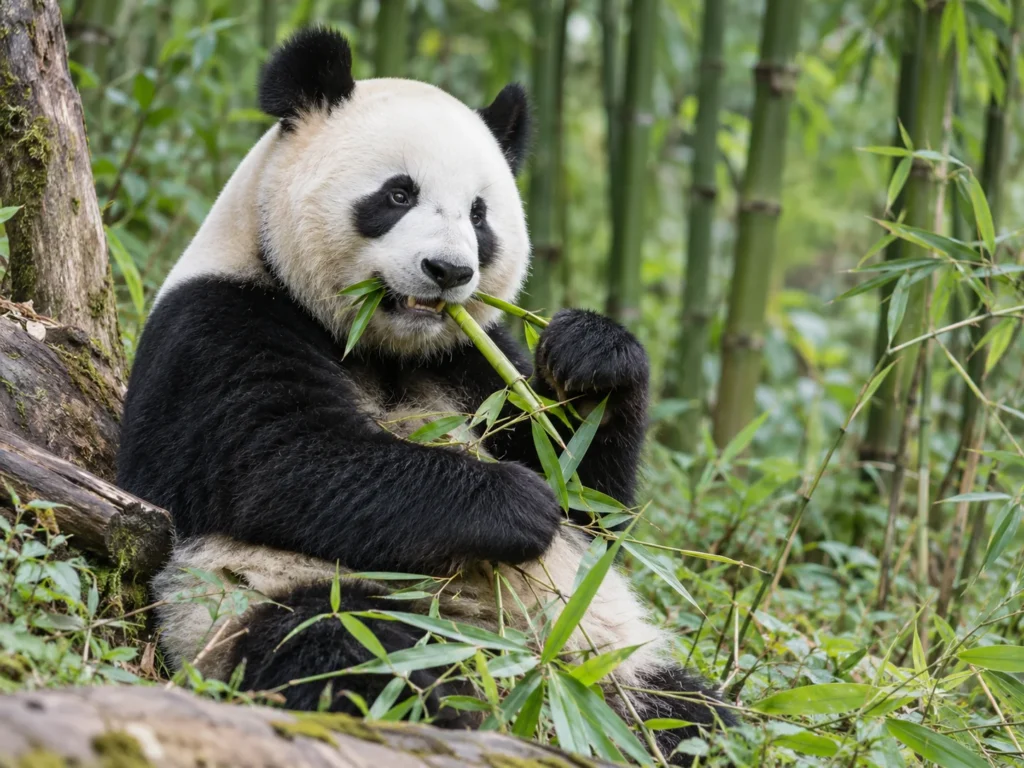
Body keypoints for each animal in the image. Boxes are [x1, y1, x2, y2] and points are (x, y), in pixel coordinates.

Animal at [117, 27, 735, 762]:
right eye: (397, 194)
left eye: (480, 214)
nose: (448, 270)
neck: (384, 345)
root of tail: (531, 681)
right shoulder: (220, 323)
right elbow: (280, 463)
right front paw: (516, 504)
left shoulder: (477, 360)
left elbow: (591, 500)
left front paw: (591, 358)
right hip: (264, 601)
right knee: (347, 650)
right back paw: (450, 715)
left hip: (608, 656)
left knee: (692, 711)